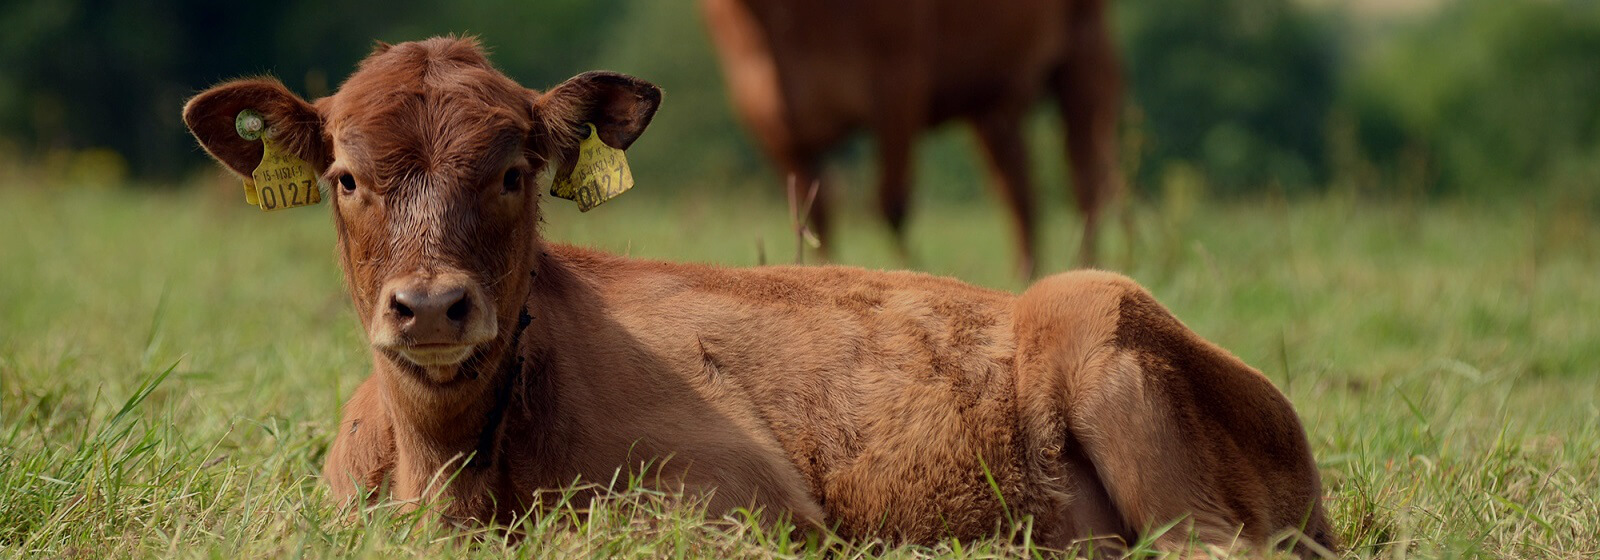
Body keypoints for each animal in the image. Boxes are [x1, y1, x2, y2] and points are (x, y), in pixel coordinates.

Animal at [181, 38, 1331, 556]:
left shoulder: (742, 503)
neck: (445, 476)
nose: (429, 308)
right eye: (346, 177)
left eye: (512, 171)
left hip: (1106, 329)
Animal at [700, 0, 1126, 275]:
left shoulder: (898, 79)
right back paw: (1026, 276)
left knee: (1088, 180)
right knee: (1019, 190)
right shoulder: (771, 121)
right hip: (991, 100)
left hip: (1085, 50)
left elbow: (893, 205)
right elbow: (814, 217)